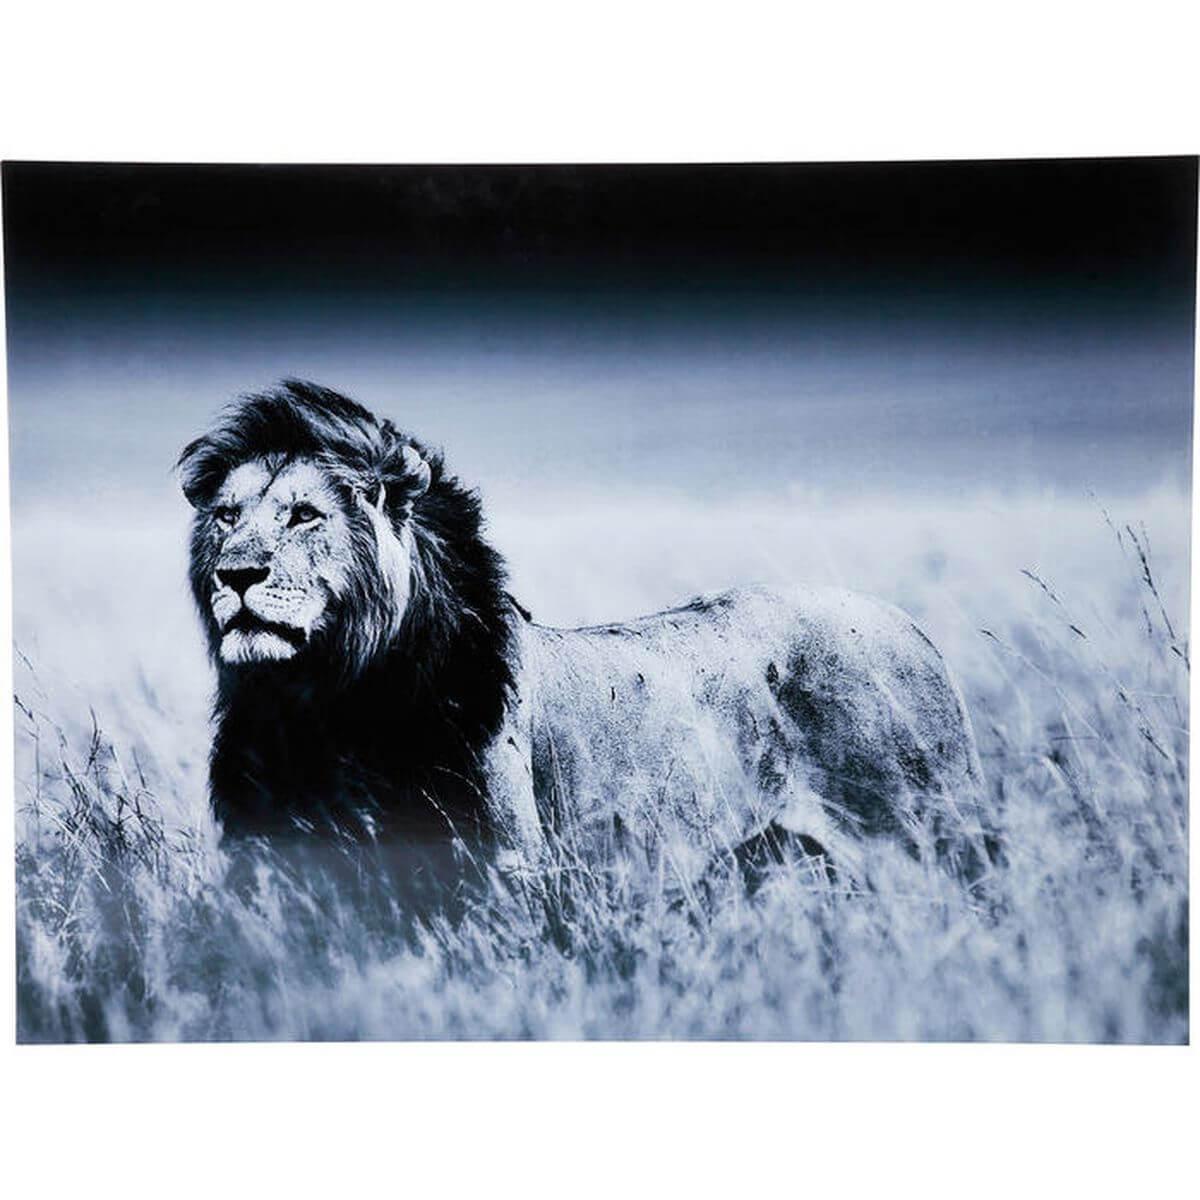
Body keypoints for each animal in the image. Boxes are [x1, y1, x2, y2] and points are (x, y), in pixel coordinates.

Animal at [179, 380, 987, 882]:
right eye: (227, 517)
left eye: (303, 516)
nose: (236, 574)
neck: (325, 703)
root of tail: (909, 625)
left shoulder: (502, 868)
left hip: (923, 839)